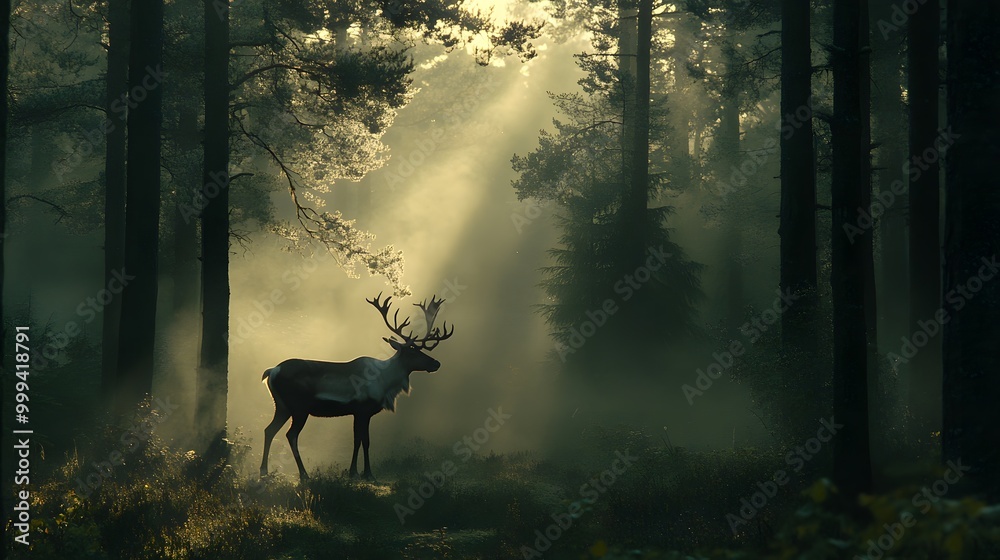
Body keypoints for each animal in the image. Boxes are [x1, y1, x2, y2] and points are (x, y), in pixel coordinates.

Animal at [259, 293, 454, 481]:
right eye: (412, 351)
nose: (436, 363)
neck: (386, 384)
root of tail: (271, 371)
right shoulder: (363, 409)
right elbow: (364, 441)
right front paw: (365, 473)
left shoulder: (357, 412)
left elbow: (358, 440)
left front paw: (356, 472)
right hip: (299, 408)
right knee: (291, 435)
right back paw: (303, 474)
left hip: (282, 406)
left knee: (269, 430)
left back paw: (264, 471)